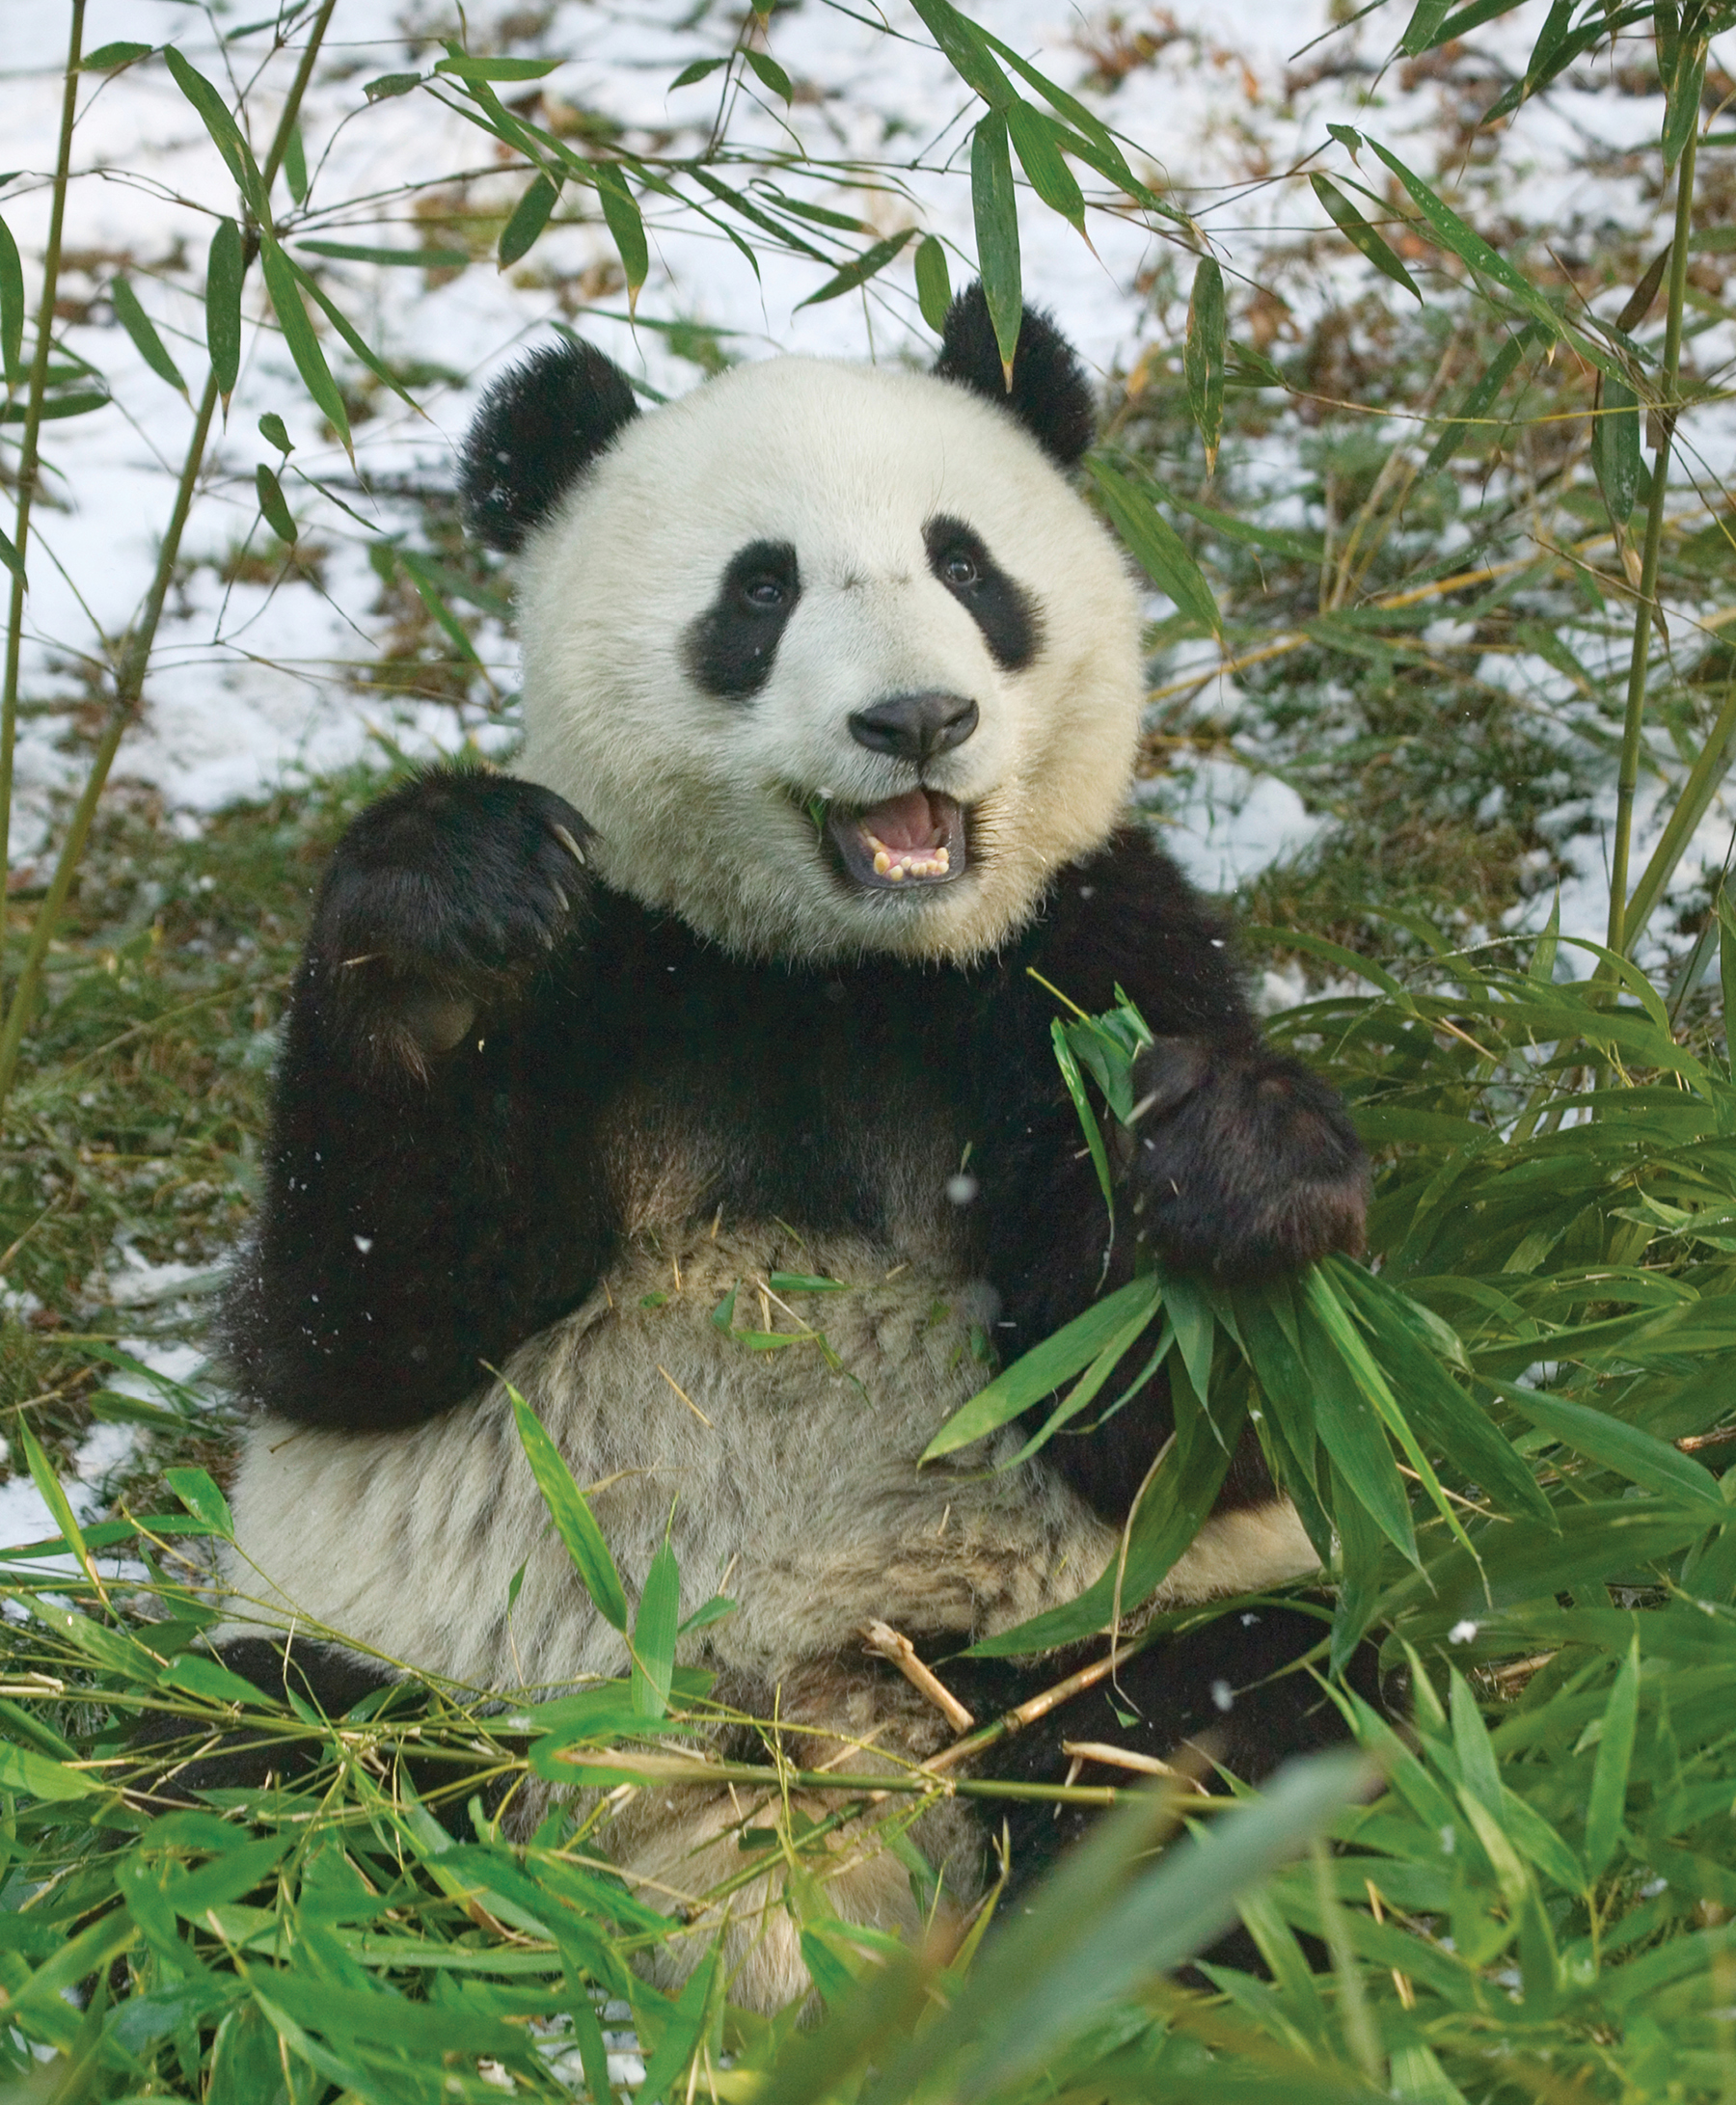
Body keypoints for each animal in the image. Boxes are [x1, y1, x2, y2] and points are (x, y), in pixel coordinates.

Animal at [203, 283, 1371, 2004]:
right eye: (759, 590)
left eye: (967, 565)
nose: (917, 718)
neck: (836, 965)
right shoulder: (616, 959)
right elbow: (357, 1327)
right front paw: (438, 930)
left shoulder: (1085, 947)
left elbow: (1165, 1425)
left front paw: (1236, 1156)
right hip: (443, 1693)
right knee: (237, 1778)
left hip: (1073, 1652)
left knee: (1243, 1741)